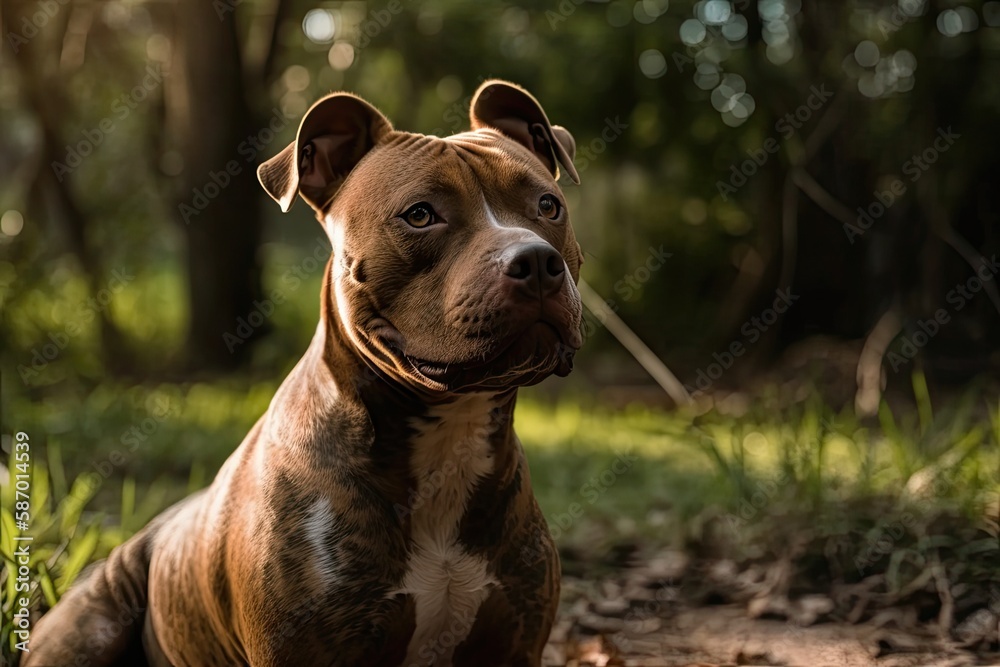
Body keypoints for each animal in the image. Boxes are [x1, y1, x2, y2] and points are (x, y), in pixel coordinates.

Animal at [23, 79, 584, 667]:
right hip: (91, 627)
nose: (536, 261)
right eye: (420, 215)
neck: (450, 431)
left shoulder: (513, 640)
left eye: (548, 204)